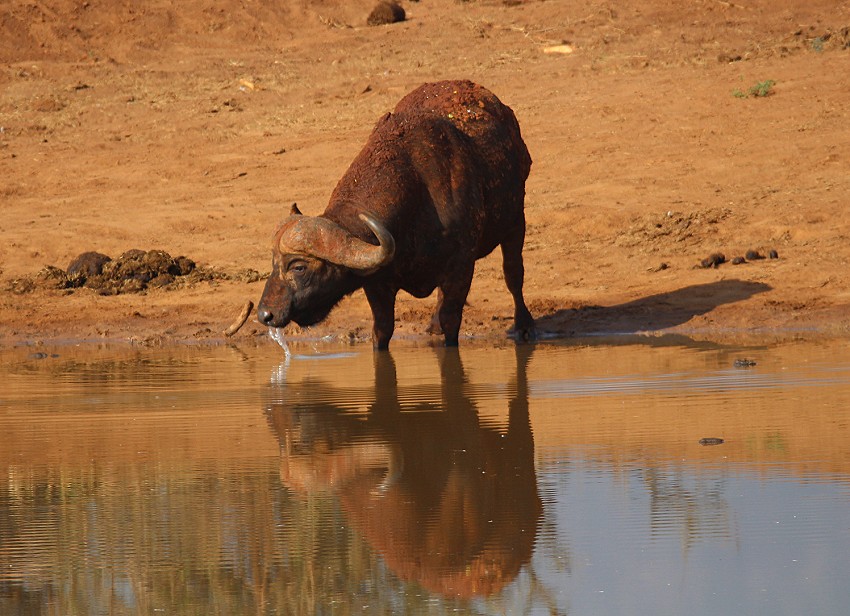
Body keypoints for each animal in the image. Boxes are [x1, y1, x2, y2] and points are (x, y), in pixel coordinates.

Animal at [258, 78, 532, 346]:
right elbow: (382, 329)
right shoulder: (377, 283)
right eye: (273, 262)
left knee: (513, 273)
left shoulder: (461, 268)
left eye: (298, 267)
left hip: (516, 220)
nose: (265, 314)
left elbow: (451, 321)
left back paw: (524, 324)